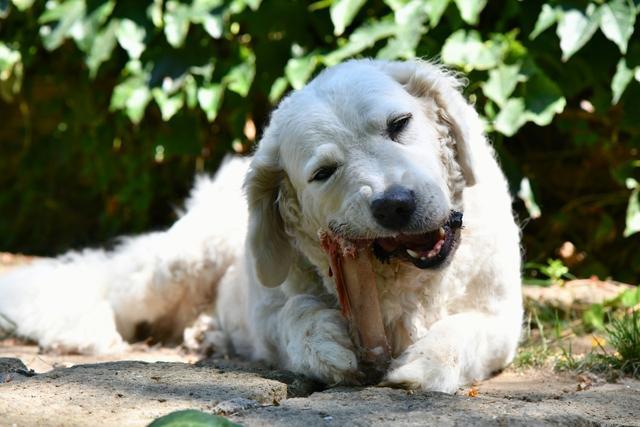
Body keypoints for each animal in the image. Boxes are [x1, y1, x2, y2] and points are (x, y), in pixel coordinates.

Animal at [0, 60, 520, 394]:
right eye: (323, 172)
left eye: (400, 124)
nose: (394, 205)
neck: (400, 280)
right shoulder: (267, 312)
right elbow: (295, 316)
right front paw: (326, 347)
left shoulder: (501, 320)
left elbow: (462, 330)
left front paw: (425, 365)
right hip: (178, 265)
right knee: (111, 291)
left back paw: (205, 335)